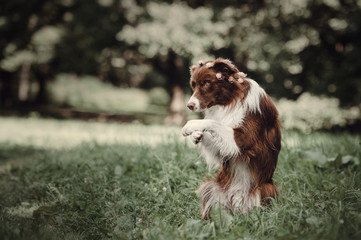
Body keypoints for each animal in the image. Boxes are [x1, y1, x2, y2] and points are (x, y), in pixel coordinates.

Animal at [181, 58, 280, 219]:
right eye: (193, 85)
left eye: (206, 83)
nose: (190, 105)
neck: (231, 100)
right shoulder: (227, 148)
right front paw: (197, 135)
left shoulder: (244, 139)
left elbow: (214, 122)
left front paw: (191, 125)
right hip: (212, 187)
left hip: (265, 189)